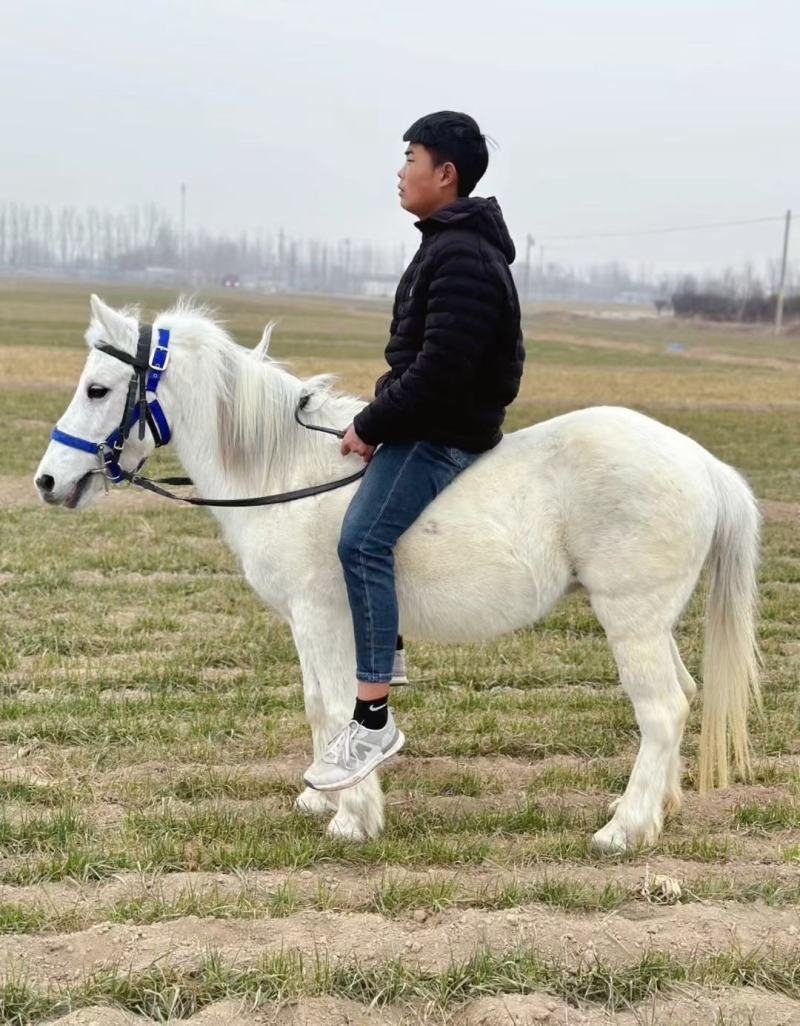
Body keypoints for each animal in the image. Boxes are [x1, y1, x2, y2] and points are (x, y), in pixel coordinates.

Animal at [34, 295, 762, 852]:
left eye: (98, 388)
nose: (46, 481)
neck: (284, 468)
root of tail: (703, 464)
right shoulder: (307, 622)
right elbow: (317, 704)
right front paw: (323, 794)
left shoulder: (322, 615)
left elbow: (336, 703)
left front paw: (353, 816)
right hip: (653, 623)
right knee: (683, 695)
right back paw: (656, 811)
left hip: (630, 620)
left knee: (662, 709)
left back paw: (624, 830)